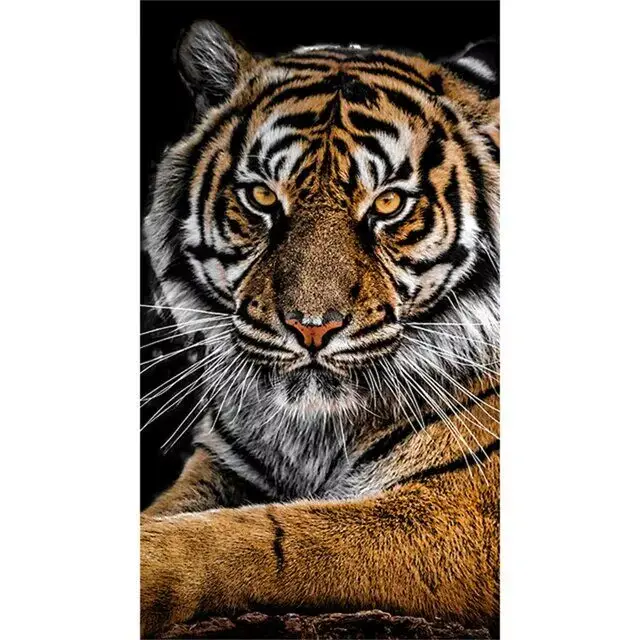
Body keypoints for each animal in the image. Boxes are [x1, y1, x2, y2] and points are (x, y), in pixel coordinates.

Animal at [141, 19, 500, 639]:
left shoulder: (463, 514)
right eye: (262, 196)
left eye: (389, 203)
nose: (311, 328)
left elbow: (262, 538)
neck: (313, 433)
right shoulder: (223, 464)